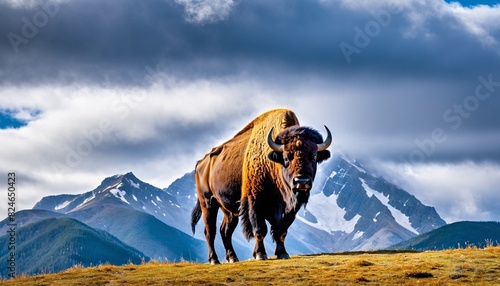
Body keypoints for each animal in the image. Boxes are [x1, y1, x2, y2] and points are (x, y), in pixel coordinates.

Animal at [191, 109, 332, 264]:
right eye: (286, 157)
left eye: (314, 156)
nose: (302, 181)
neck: (273, 163)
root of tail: (201, 163)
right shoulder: (255, 202)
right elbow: (260, 230)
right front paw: (260, 254)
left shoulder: (288, 210)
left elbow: (281, 231)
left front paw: (282, 253)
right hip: (208, 203)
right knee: (210, 231)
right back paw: (214, 260)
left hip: (229, 210)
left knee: (225, 230)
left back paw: (233, 258)